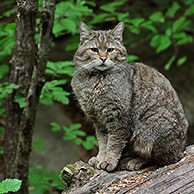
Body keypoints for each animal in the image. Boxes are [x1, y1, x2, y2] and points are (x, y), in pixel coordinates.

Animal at [71, 21, 188, 171]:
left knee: (164, 158)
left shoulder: (118, 118)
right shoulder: (98, 120)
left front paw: (109, 161)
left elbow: (114, 143)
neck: (96, 80)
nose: (103, 58)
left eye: (110, 50)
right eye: (94, 50)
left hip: (149, 129)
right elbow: (103, 143)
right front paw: (100, 158)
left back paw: (136, 161)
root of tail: (181, 147)